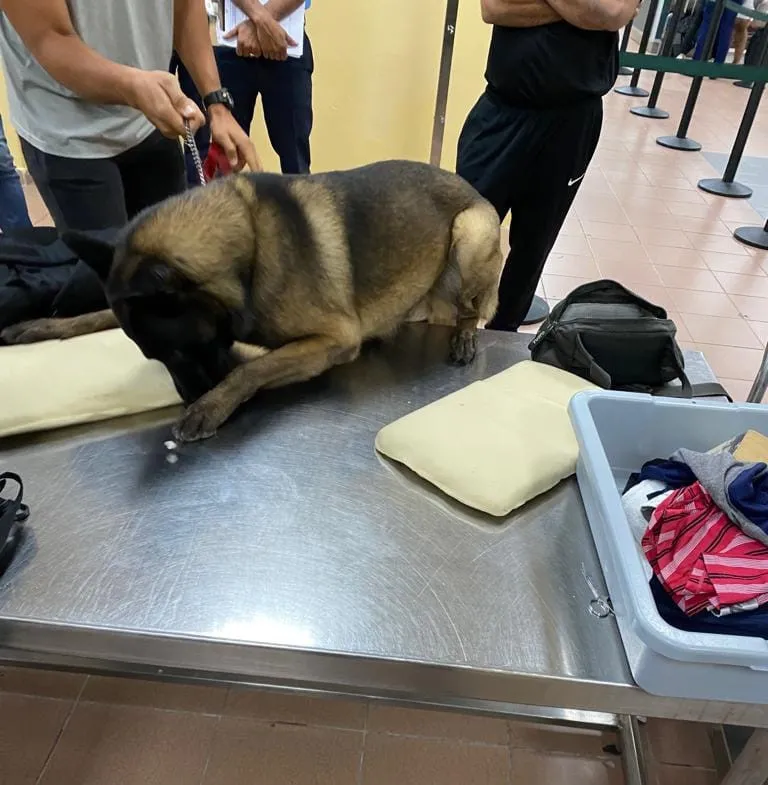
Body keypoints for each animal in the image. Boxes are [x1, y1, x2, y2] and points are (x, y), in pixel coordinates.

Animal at [1, 160, 503, 442]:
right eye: (155, 357)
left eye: (179, 351)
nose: (189, 397)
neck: (251, 251)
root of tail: (471, 187)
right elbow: (96, 313)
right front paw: (39, 327)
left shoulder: (334, 339)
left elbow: (251, 369)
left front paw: (210, 406)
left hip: (470, 234)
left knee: (471, 309)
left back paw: (463, 336)